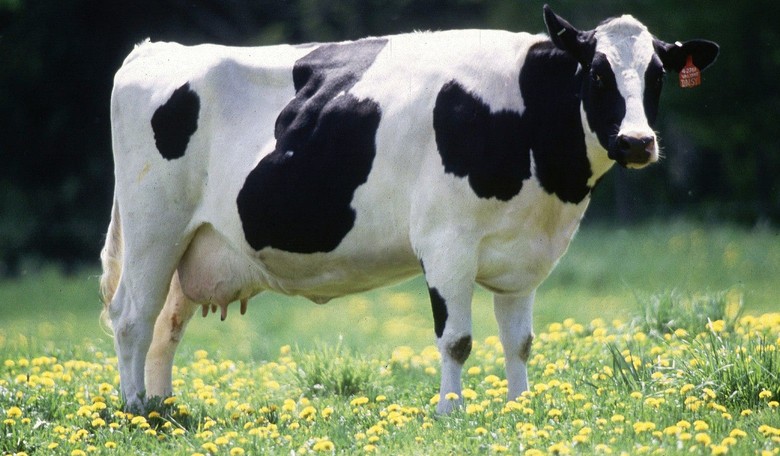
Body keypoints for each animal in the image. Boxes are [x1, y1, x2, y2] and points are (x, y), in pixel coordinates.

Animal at [100, 5, 718, 413]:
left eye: (657, 75)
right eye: (597, 72)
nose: (637, 142)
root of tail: (154, 49)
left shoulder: (524, 256)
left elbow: (519, 341)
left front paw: (520, 409)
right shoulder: (447, 242)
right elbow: (457, 339)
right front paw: (451, 412)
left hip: (193, 243)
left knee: (165, 324)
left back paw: (164, 407)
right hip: (154, 227)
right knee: (132, 316)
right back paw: (136, 410)